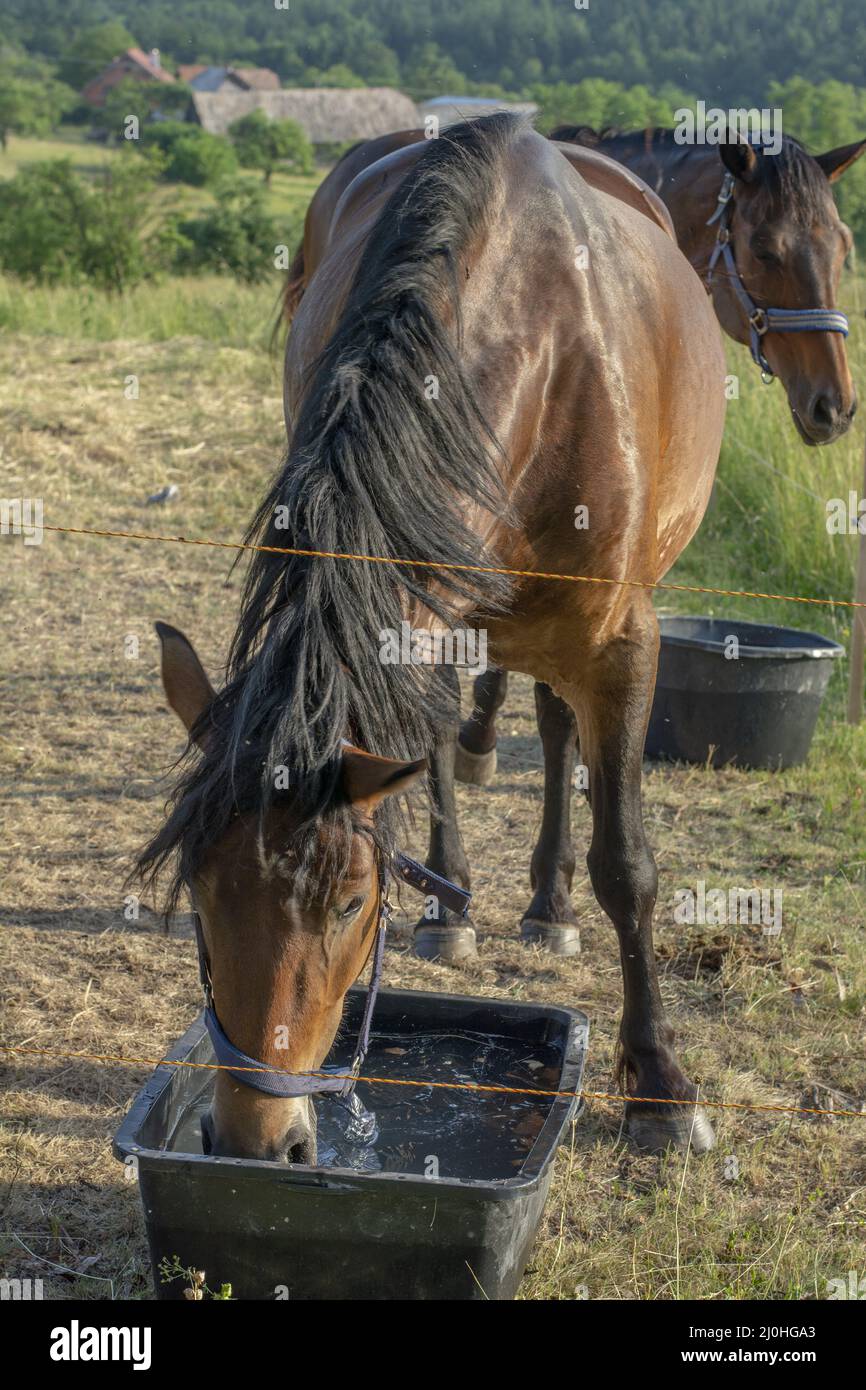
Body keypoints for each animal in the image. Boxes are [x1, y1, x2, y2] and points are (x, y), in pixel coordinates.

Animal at [140, 116, 722, 1162]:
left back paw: (548, 904)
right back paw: (462, 902)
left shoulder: (622, 647)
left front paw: (661, 1084)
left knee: (553, 728)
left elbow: (630, 865)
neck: (541, 354)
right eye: (200, 893)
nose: (257, 1142)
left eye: (348, 903)